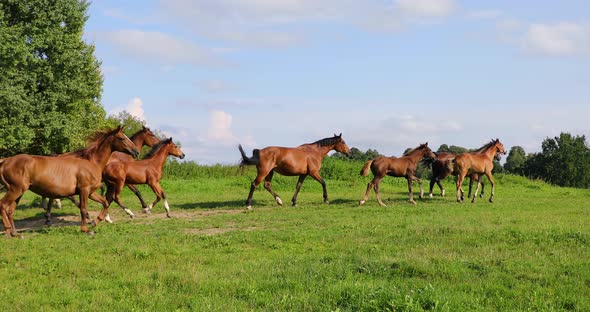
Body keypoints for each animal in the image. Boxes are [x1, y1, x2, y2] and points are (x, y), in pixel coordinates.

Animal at [0, 125, 140, 238]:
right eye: (122, 138)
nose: (136, 152)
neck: (91, 162)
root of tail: (5, 161)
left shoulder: (91, 192)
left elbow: (105, 202)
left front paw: (95, 222)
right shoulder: (84, 191)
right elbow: (83, 209)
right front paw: (86, 230)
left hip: (19, 192)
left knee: (10, 210)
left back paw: (15, 234)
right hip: (16, 189)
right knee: (3, 205)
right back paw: (8, 230)